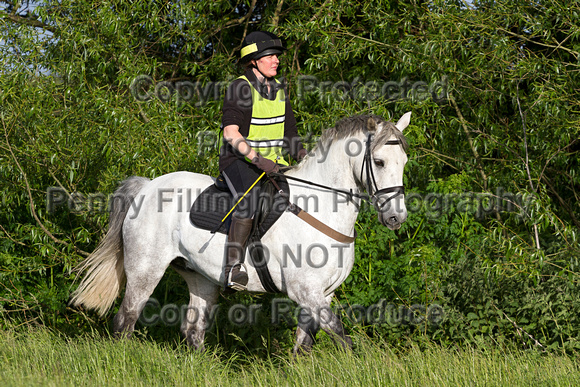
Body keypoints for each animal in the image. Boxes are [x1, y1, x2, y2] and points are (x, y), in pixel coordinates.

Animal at [70, 111, 410, 354]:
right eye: (379, 161)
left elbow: (305, 344)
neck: (320, 207)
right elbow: (341, 336)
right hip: (145, 270)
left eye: (404, 161)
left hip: (201, 278)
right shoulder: (306, 292)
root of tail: (147, 186)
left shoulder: (321, 294)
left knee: (193, 332)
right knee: (125, 321)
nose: (396, 217)